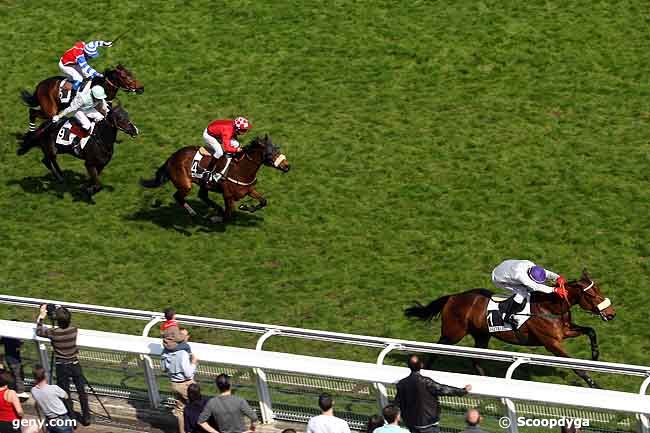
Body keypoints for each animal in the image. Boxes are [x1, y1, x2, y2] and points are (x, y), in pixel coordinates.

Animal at [140, 134, 290, 223]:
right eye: (271, 152)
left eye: (278, 149)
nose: (287, 166)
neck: (241, 169)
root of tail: (171, 158)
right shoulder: (228, 195)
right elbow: (229, 214)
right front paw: (216, 218)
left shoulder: (248, 190)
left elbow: (263, 201)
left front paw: (246, 206)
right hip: (185, 184)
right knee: (178, 196)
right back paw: (193, 213)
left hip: (203, 184)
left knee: (202, 195)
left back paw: (215, 209)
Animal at [404, 270, 612, 388]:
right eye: (591, 295)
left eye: (600, 290)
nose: (611, 314)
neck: (550, 307)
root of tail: (453, 297)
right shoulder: (552, 343)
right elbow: (574, 365)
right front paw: (594, 384)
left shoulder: (565, 331)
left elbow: (591, 330)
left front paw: (595, 354)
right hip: (453, 334)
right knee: (436, 350)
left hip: (481, 336)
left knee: (475, 360)